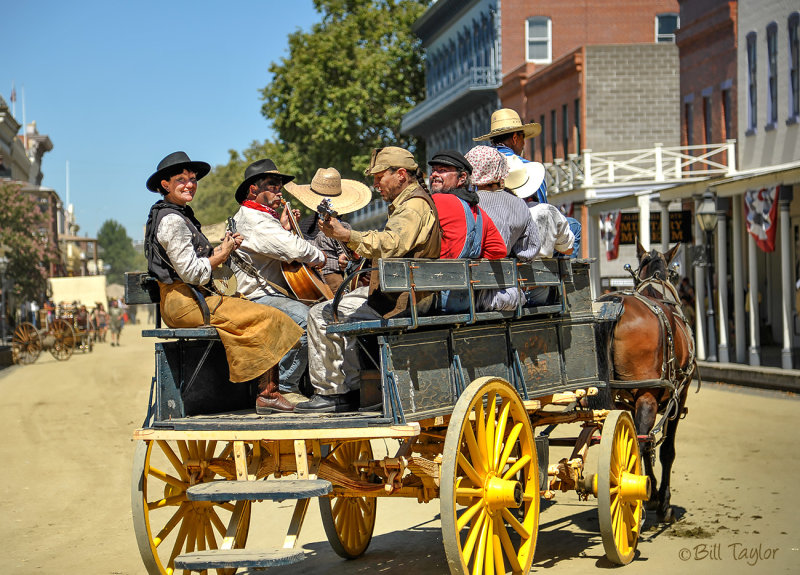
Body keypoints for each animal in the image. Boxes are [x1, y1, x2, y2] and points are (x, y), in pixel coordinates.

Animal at [596, 241, 696, 524]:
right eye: (675, 274)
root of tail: (615, 305)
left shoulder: (629, 402)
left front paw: (651, 494)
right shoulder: (678, 396)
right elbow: (666, 450)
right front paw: (661, 502)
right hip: (649, 397)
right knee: (640, 442)